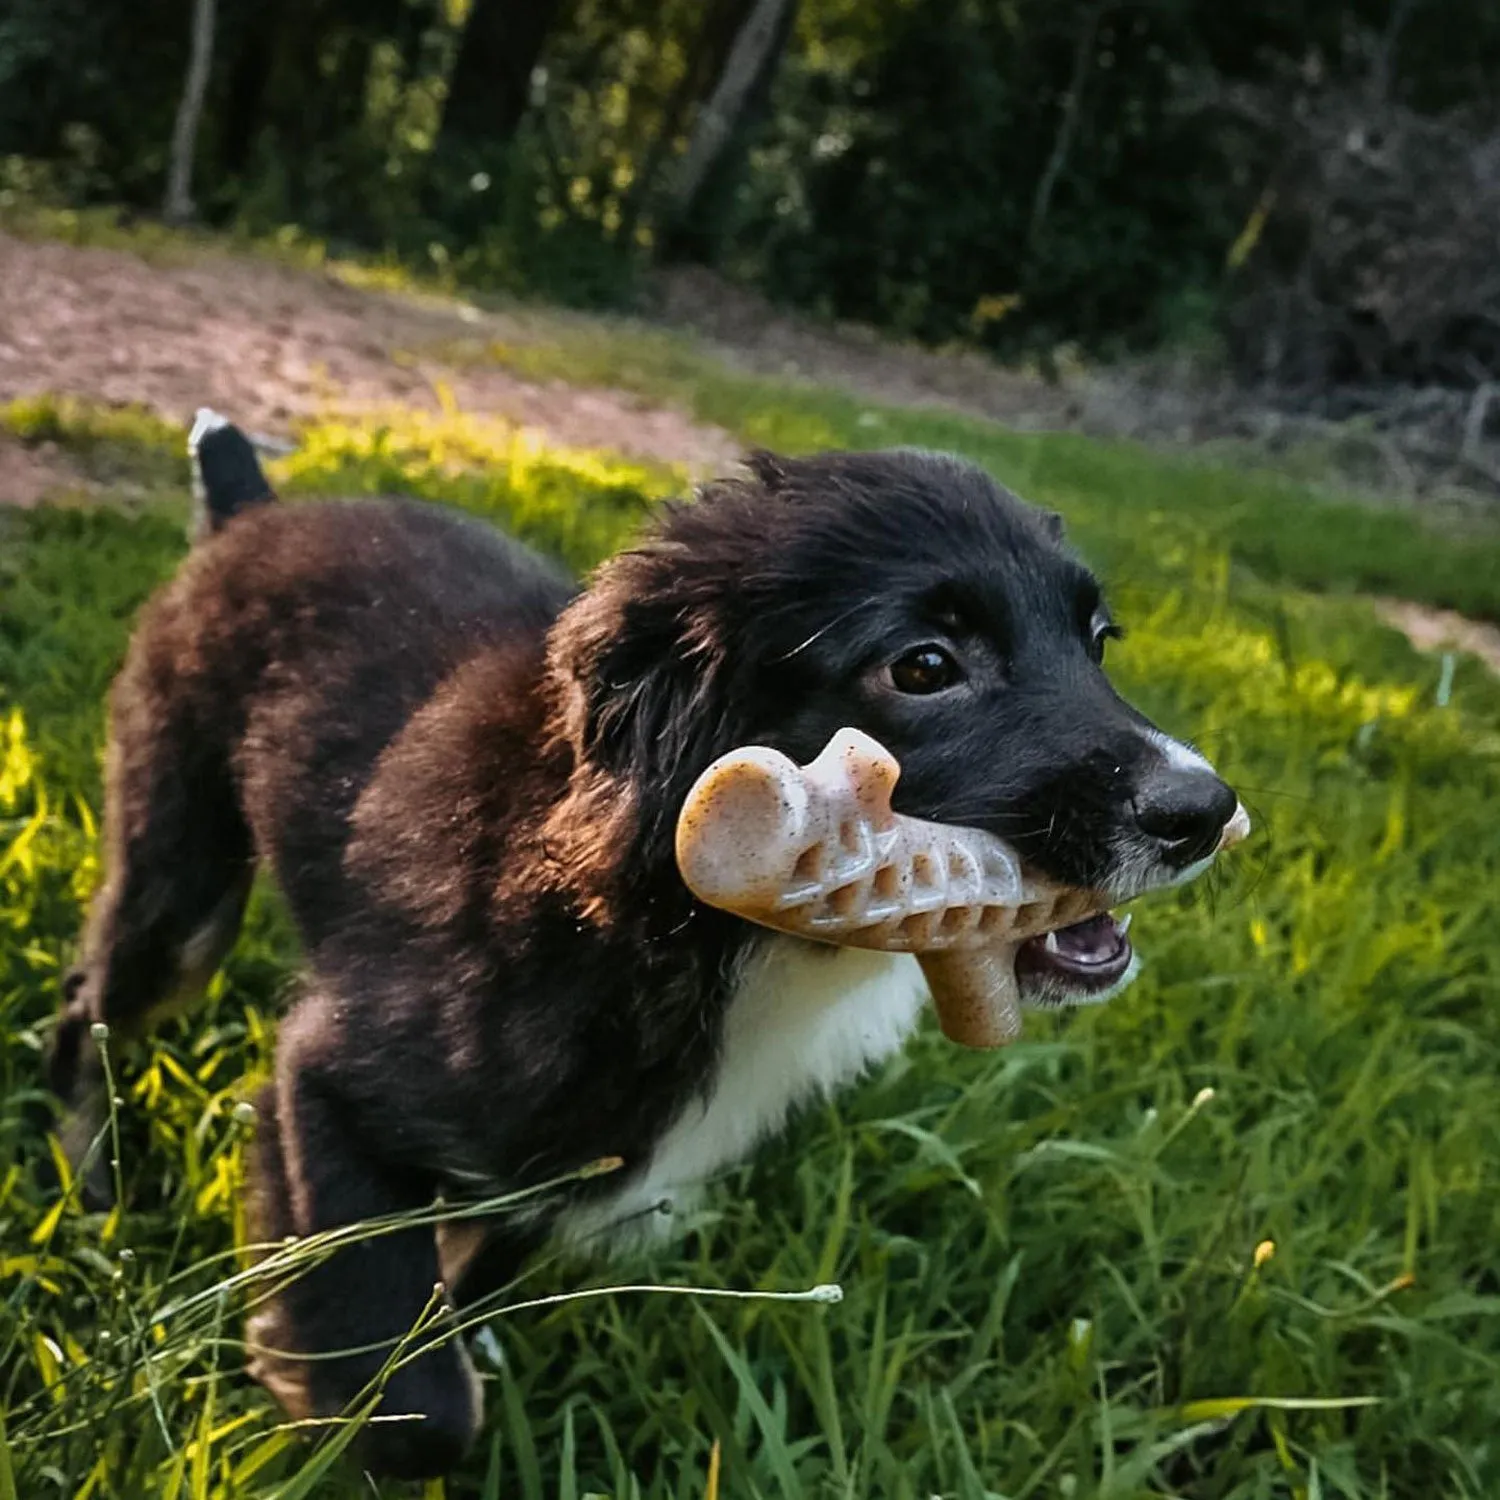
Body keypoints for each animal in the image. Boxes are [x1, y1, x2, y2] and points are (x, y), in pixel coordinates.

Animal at [46, 420, 1242, 1476]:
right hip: (179, 886)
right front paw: (326, 1400)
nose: (1206, 812)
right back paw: (88, 1187)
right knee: (86, 1000)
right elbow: (416, 1400)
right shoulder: (330, 1088)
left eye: (1098, 640)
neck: (675, 916)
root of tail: (253, 510)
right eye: (924, 666)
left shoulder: (594, 1146)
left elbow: (481, 1262)